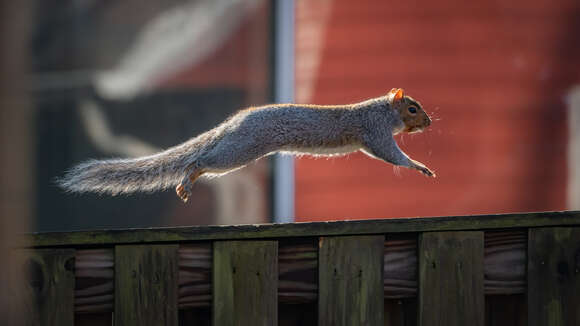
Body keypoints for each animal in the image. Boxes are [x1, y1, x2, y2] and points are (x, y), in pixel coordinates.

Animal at [59, 88, 436, 202]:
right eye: (412, 108)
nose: (429, 123)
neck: (382, 110)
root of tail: (236, 121)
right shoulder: (375, 132)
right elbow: (391, 155)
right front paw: (421, 167)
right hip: (240, 150)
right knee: (199, 161)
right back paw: (186, 180)